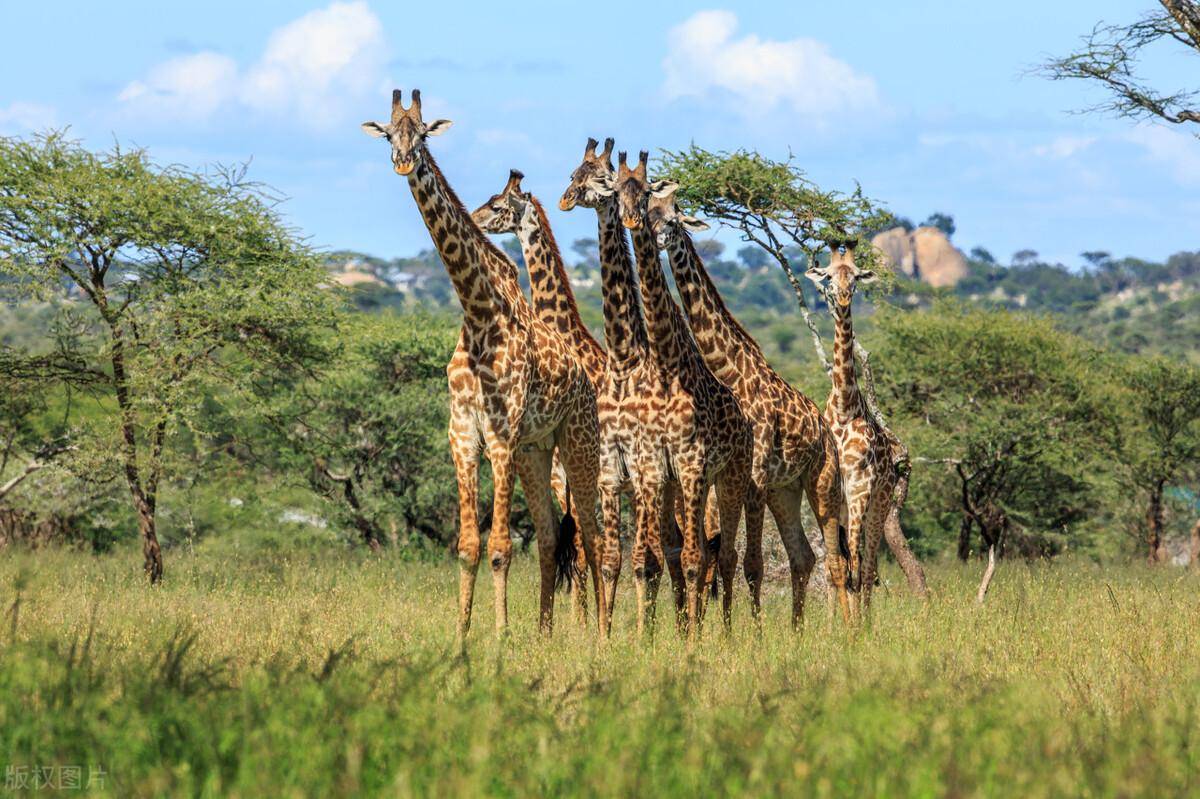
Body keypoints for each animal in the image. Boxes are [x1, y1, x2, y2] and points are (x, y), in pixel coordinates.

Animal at [609, 151, 748, 633]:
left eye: (670, 216)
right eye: (651, 212)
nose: (643, 228)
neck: (668, 368)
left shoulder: (692, 463)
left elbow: (692, 557)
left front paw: (692, 641)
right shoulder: (654, 465)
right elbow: (654, 555)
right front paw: (651, 636)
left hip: (731, 475)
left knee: (725, 554)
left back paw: (726, 633)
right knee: (699, 549)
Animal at [643, 184, 859, 623]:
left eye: (672, 218)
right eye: (648, 211)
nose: (653, 238)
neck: (729, 369)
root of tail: (826, 429)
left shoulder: (754, 477)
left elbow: (748, 562)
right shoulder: (730, 480)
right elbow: (715, 555)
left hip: (822, 484)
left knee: (836, 560)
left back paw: (847, 631)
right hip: (785, 490)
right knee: (804, 556)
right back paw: (796, 630)